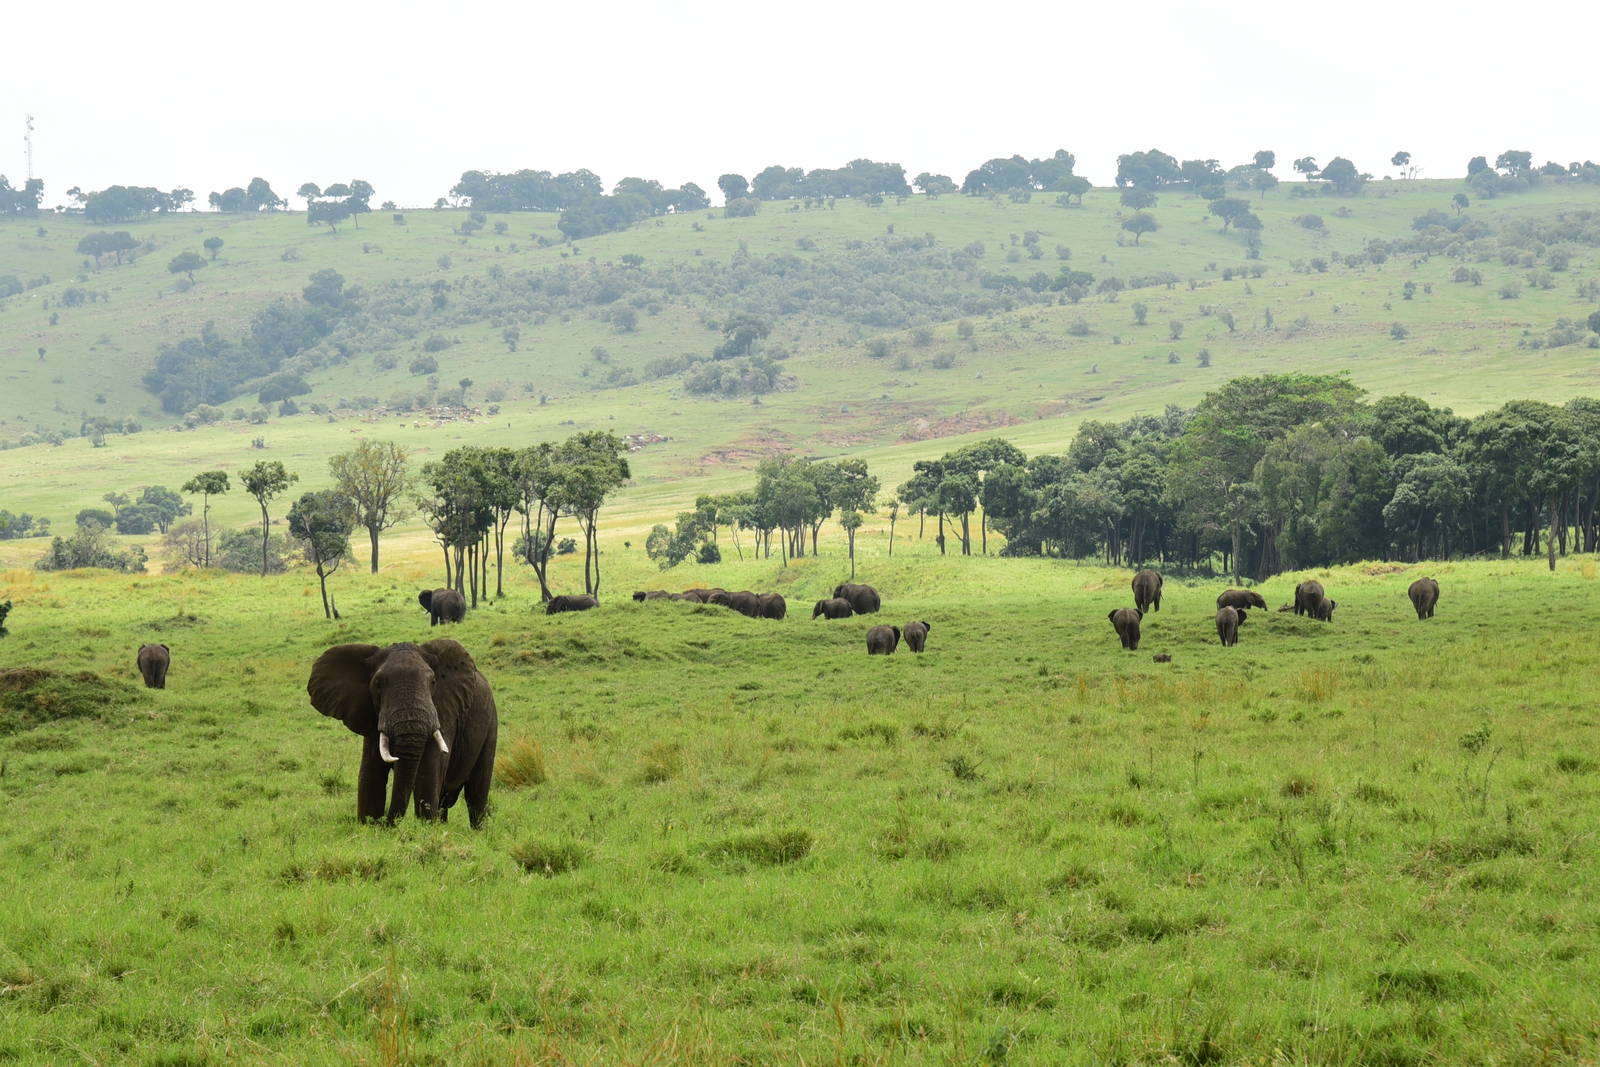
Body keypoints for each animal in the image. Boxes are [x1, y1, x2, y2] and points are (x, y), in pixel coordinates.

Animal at [307, 638, 499, 827]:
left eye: (433, 682)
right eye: (377, 684)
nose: (389, 824)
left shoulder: (444, 713)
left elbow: (428, 771)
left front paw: (425, 828)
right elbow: (370, 775)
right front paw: (369, 826)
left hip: (491, 723)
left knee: (476, 792)